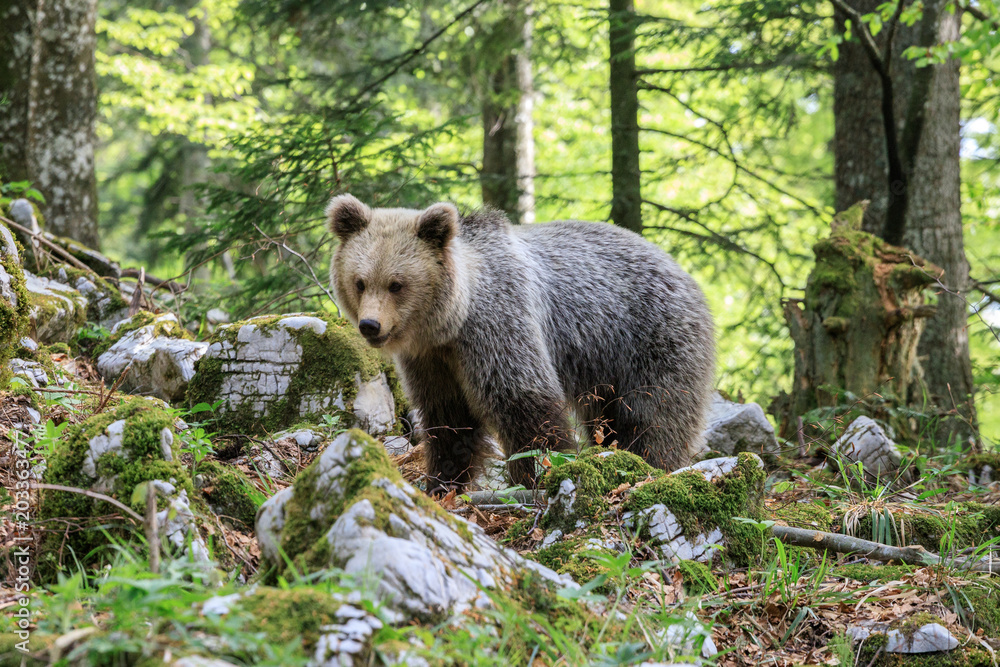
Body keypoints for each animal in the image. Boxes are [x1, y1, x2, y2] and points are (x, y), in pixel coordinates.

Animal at [327, 194, 715, 491]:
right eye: (360, 281)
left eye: (397, 284)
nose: (370, 325)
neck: (451, 322)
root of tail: (684, 272)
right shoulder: (431, 359)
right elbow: (449, 419)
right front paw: (441, 482)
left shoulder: (498, 326)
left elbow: (524, 403)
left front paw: (535, 476)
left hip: (651, 338)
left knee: (655, 414)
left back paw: (650, 463)